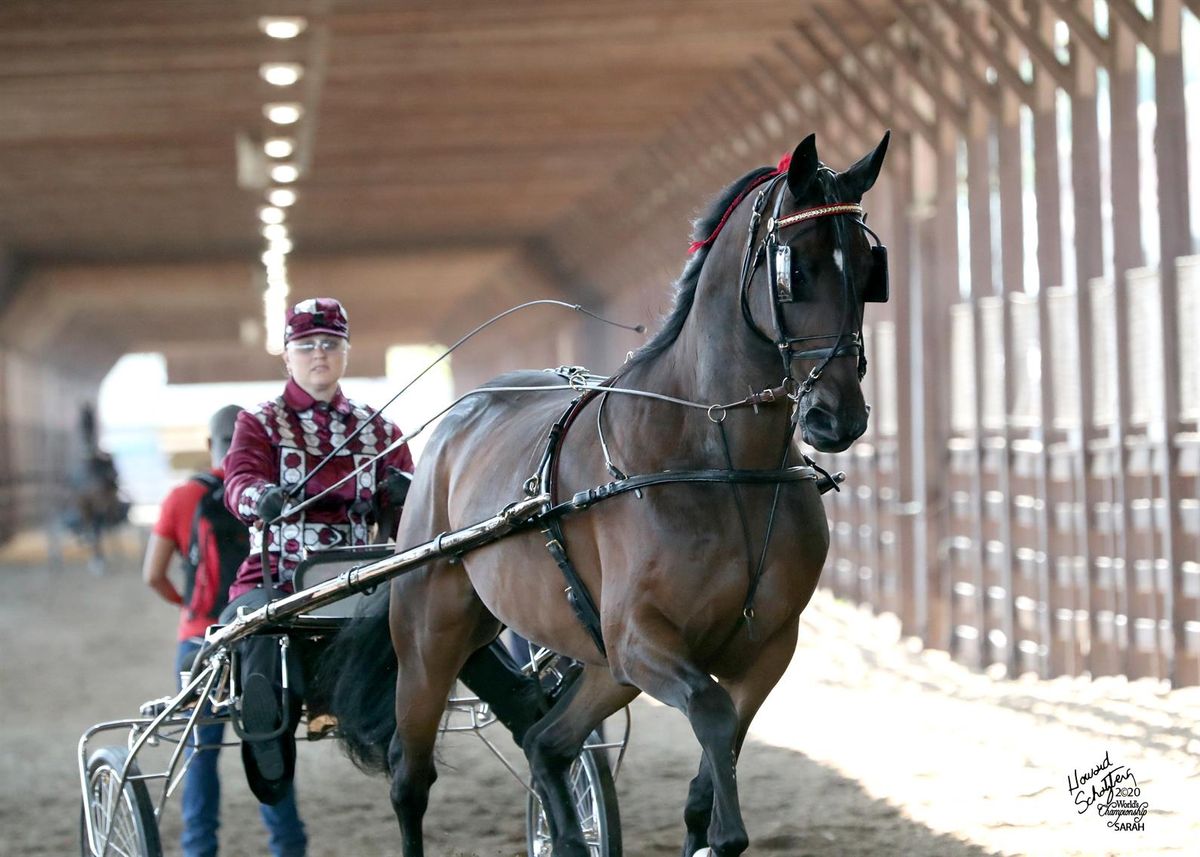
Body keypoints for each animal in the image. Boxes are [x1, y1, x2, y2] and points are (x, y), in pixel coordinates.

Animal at [322, 131, 891, 856]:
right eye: (797, 267)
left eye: (868, 268)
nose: (836, 417)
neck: (719, 463)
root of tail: (456, 423)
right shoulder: (642, 638)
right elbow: (711, 716)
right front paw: (725, 831)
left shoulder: (765, 647)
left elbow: (716, 759)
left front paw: (706, 823)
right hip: (432, 636)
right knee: (409, 776)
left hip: (599, 665)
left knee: (546, 743)